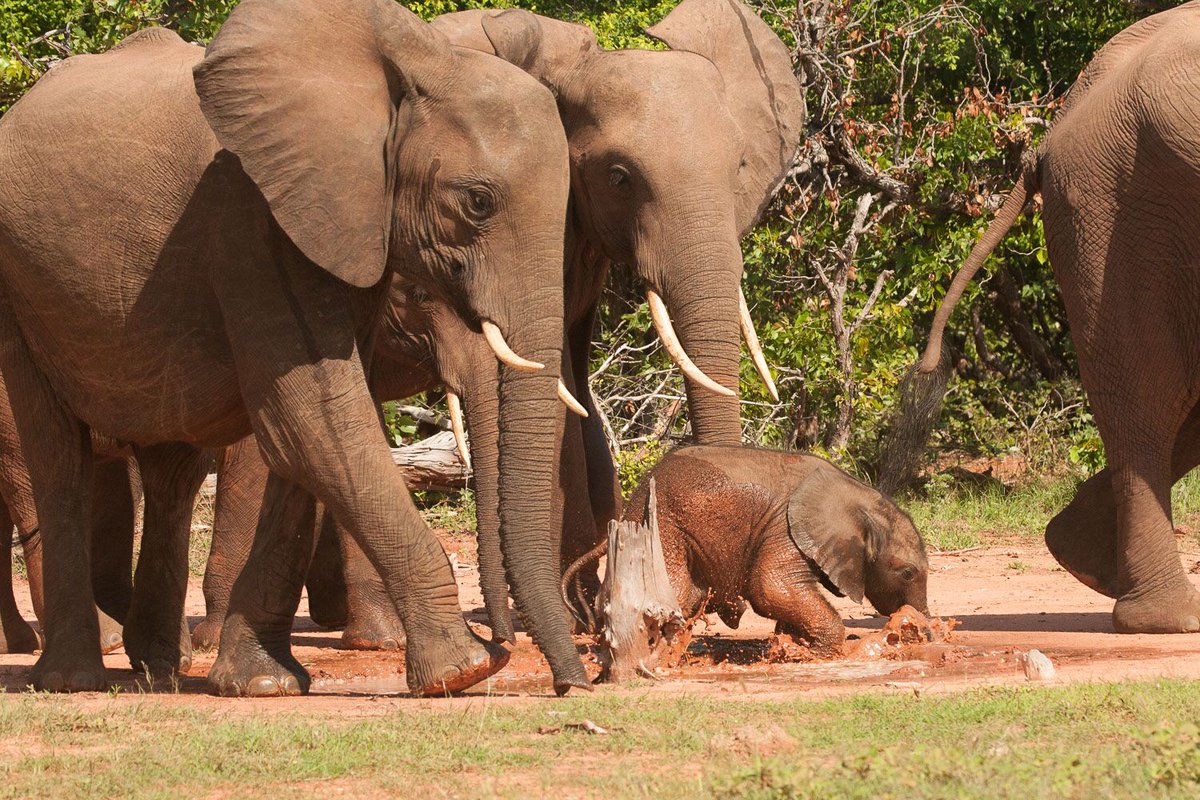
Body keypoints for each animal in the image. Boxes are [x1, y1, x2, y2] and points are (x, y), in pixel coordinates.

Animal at [0, 0, 584, 696]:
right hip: (17, 297)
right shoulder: (250, 217)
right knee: (56, 456)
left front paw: (260, 682)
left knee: (172, 469)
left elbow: (309, 435)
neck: (410, 63)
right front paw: (463, 671)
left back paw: (158, 668)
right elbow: (315, 419)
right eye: (477, 201)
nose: (574, 682)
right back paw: (74, 677)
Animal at [564, 445, 929, 657]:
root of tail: (638, 491)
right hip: (663, 520)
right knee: (675, 589)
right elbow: (772, 588)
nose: (922, 632)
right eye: (908, 573)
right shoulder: (784, 528)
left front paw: (792, 644)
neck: (861, 499)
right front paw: (821, 651)